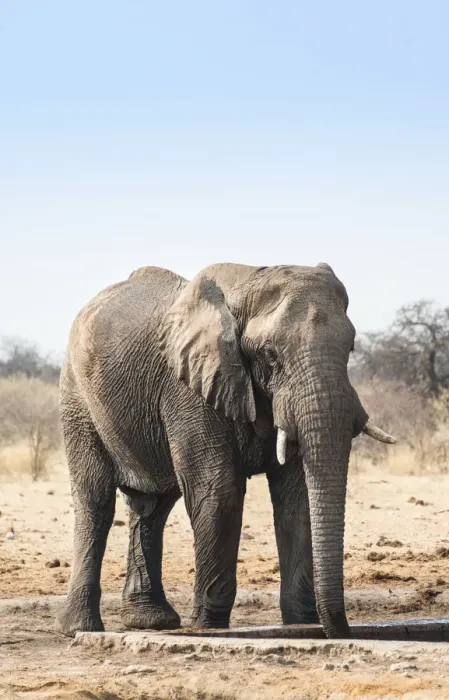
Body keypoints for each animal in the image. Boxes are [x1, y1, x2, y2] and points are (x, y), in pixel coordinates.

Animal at [56, 262, 395, 639]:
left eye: (350, 348)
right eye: (270, 354)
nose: (341, 630)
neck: (247, 284)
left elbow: (297, 496)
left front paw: (302, 624)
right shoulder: (189, 388)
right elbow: (218, 491)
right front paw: (208, 627)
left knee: (152, 506)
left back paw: (151, 622)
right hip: (77, 398)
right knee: (96, 499)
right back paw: (81, 628)